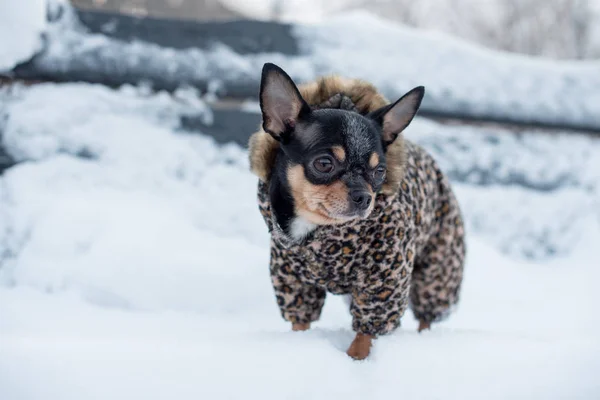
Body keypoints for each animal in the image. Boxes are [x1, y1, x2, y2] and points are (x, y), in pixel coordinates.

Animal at [246, 63, 466, 360]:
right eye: (324, 163)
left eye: (380, 171)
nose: (364, 196)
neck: (317, 230)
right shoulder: (293, 280)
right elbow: (300, 322)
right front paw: (301, 347)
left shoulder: (383, 282)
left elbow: (366, 333)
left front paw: (356, 361)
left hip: (437, 267)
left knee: (427, 315)